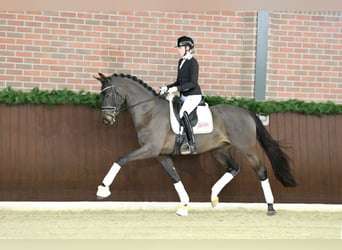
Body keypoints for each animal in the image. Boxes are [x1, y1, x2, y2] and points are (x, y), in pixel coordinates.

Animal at [93, 71, 296, 216]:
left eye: (108, 93)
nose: (106, 120)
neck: (149, 111)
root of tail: (247, 112)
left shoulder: (150, 149)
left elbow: (121, 159)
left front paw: (103, 189)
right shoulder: (161, 155)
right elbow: (174, 177)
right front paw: (184, 206)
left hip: (247, 149)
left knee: (260, 170)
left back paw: (270, 207)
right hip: (219, 150)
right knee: (234, 168)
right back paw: (213, 197)